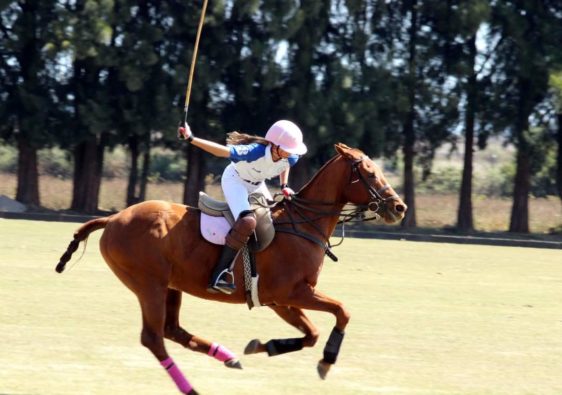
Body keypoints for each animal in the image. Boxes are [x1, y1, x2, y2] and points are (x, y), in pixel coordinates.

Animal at [57, 144, 404, 394]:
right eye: (370, 173)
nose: (399, 207)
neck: (303, 225)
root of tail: (113, 218)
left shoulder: (279, 300)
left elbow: (312, 333)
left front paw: (263, 346)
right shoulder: (292, 293)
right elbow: (342, 312)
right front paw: (326, 362)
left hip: (170, 286)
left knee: (172, 330)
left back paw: (228, 356)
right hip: (148, 285)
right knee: (153, 338)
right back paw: (192, 388)